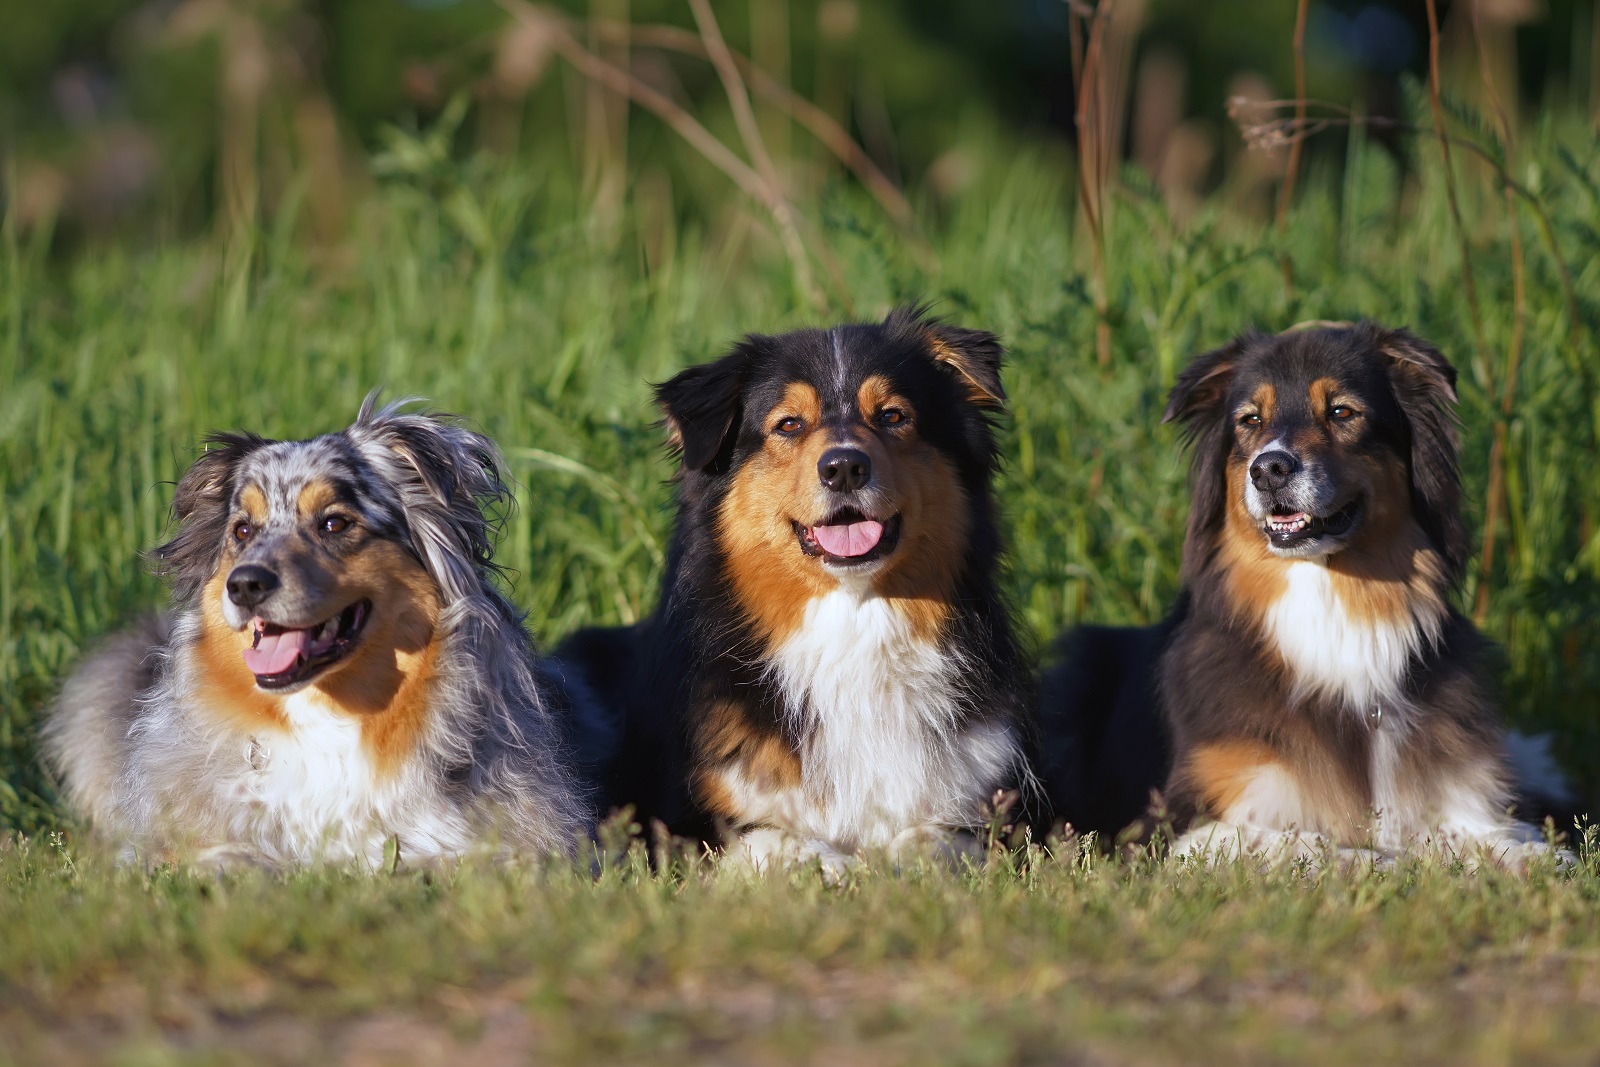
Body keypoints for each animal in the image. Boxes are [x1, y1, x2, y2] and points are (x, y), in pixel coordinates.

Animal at [563, 302, 1030, 870]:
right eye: (789, 424)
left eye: (893, 416)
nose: (845, 467)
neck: (852, 621)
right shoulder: (688, 826)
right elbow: (773, 838)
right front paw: (834, 866)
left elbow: (938, 840)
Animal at [1036, 321, 1561, 863]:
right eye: (1250, 420)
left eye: (1342, 412)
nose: (1267, 470)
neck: (1329, 601)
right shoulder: (1177, 828)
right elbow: (1312, 848)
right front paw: (1386, 864)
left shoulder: (1458, 792)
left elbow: (1498, 839)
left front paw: (1535, 862)